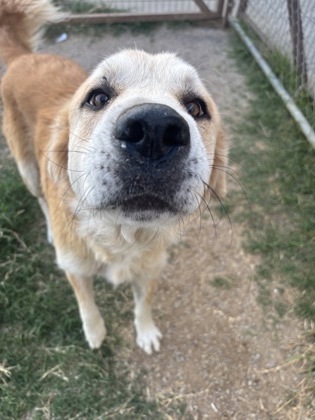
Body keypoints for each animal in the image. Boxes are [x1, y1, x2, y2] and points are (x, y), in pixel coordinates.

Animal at [0, 0, 227, 354]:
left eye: (195, 107)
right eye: (98, 98)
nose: (155, 129)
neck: (121, 235)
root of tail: (25, 57)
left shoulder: (150, 266)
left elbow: (144, 303)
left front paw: (146, 331)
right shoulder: (75, 267)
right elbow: (86, 303)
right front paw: (95, 332)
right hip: (28, 170)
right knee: (41, 199)